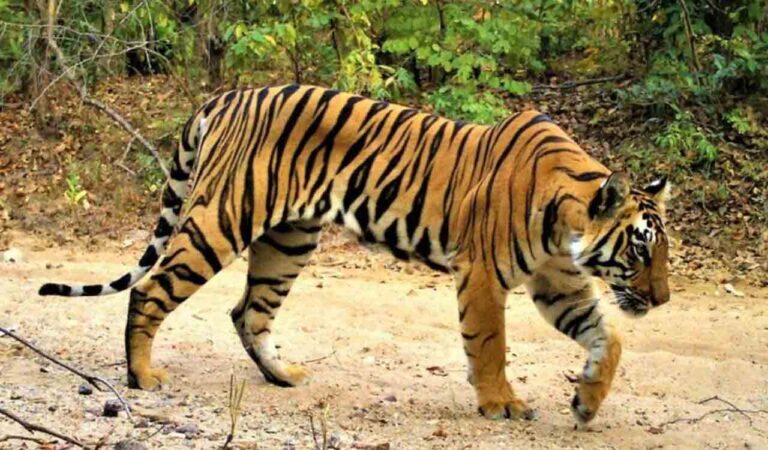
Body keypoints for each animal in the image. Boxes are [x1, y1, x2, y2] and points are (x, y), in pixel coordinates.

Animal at [39, 85, 671, 425]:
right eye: (640, 249)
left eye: (663, 253)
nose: (663, 300)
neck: (567, 225)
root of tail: (228, 95)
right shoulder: (483, 275)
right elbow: (490, 344)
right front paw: (501, 404)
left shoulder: (558, 281)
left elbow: (609, 338)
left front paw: (586, 401)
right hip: (219, 220)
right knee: (152, 289)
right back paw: (142, 376)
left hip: (289, 239)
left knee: (248, 312)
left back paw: (283, 376)